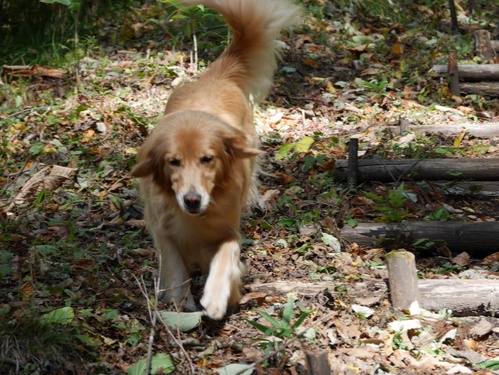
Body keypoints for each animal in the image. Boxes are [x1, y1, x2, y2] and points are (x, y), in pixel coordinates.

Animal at [131, 0, 298, 320]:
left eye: (207, 159)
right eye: (173, 162)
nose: (192, 200)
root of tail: (214, 77)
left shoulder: (228, 229)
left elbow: (225, 256)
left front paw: (218, 297)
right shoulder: (164, 230)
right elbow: (174, 267)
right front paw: (180, 303)